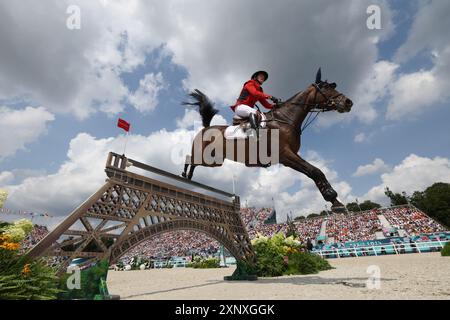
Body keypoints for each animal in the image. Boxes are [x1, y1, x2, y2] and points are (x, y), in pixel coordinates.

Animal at [181, 69, 354, 212]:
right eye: (325, 88)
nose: (348, 102)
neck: (285, 119)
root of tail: (205, 128)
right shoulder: (285, 155)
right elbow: (315, 171)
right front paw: (332, 196)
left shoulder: (291, 154)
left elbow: (315, 172)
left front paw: (336, 201)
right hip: (205, 157)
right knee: (189, 158)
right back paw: (184, 175)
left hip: (215, 162)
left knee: (193, 162)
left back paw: (188, 177)